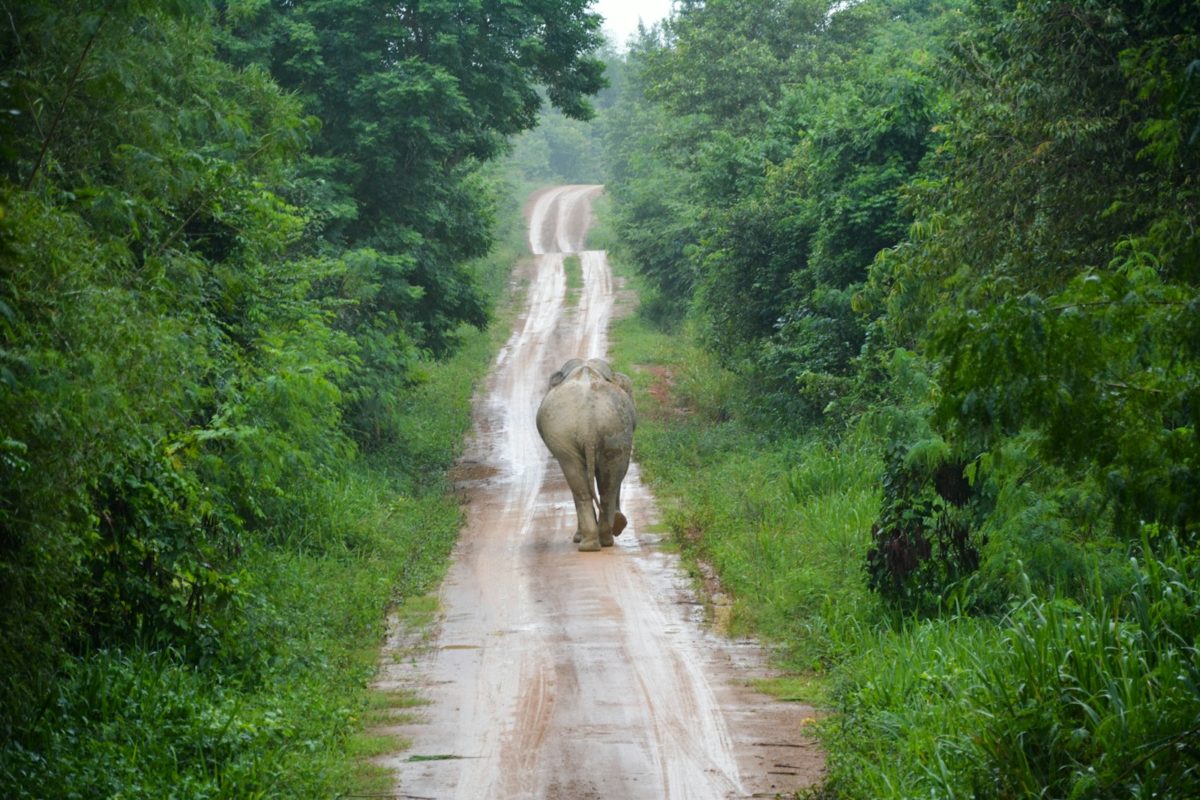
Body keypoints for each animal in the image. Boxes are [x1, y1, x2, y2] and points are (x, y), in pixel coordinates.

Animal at [537, 362, 638, 554]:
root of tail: (588, 425)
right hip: (611, 429)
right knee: (603, 484)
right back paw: (599, 541)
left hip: (603, 429)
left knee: (585, 482)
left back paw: (594, 542)